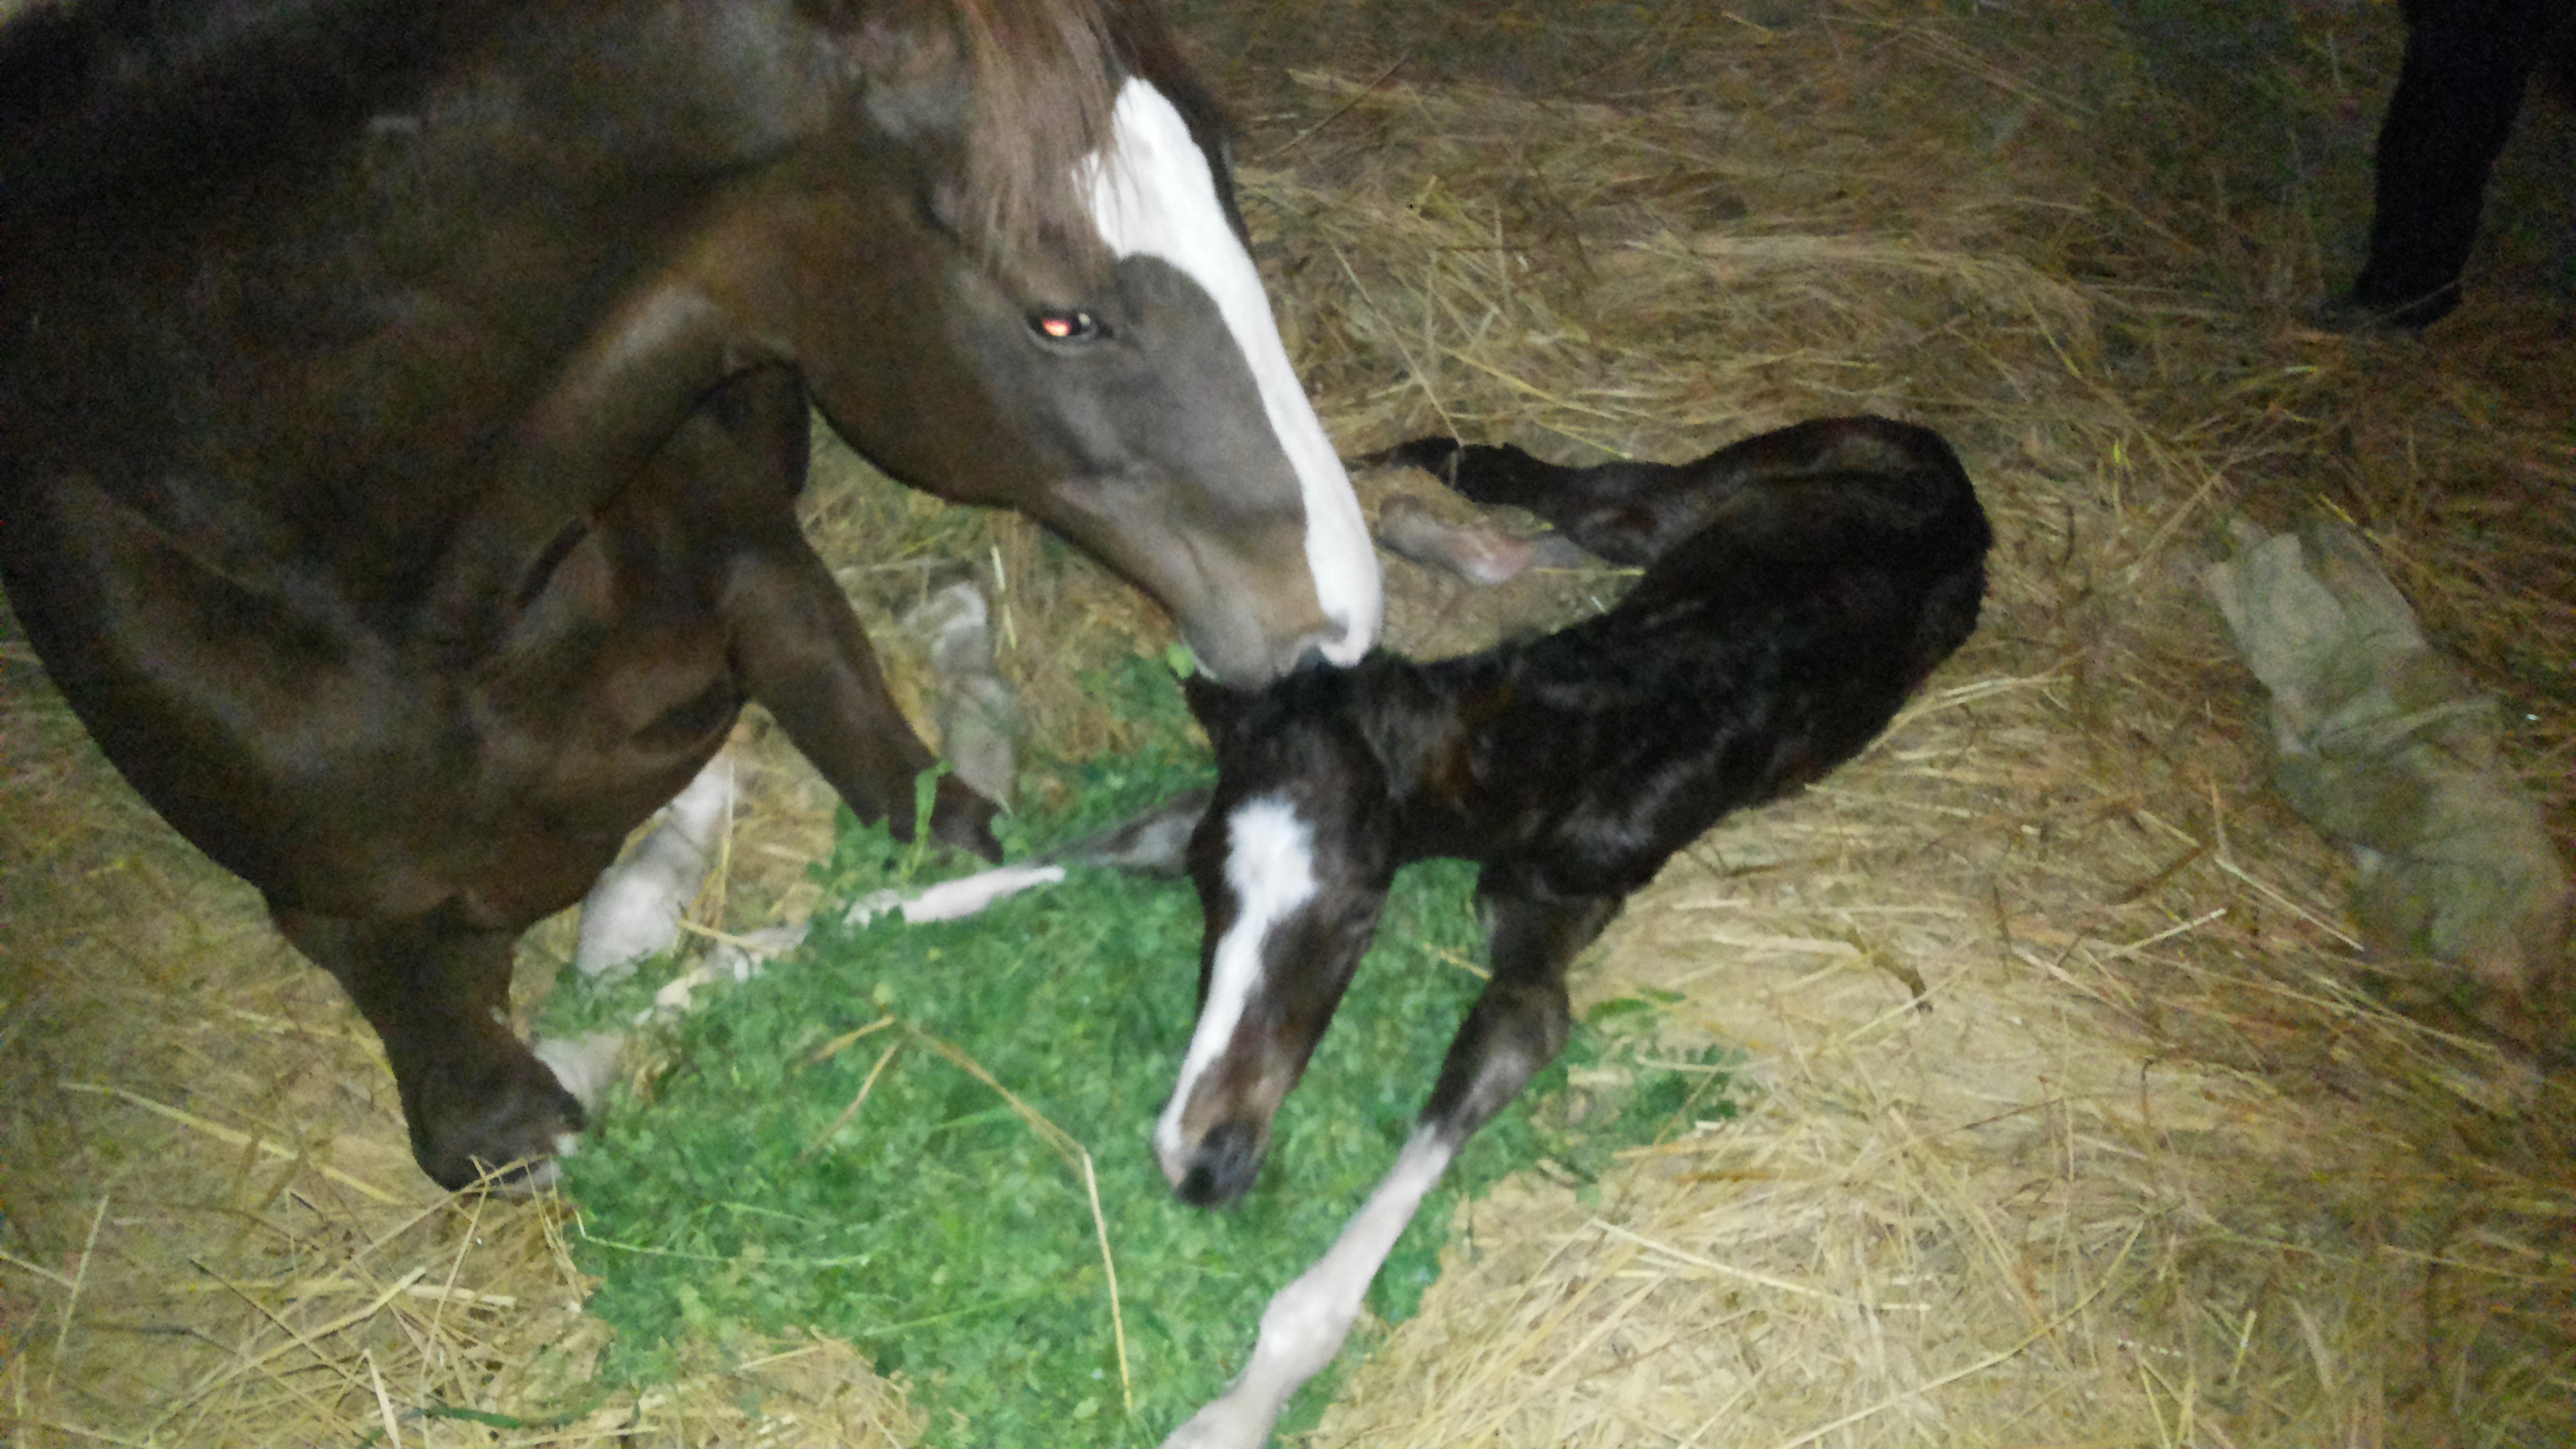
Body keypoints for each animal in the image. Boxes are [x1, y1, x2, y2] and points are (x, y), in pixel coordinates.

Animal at [0, 0, 1382, 1191]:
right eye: (1061, 321)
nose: (1339, 622)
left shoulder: (765, 574)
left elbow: (938, 825)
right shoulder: (335, 900)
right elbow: (494, 1113)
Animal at [1151, 415, 1992, 1447]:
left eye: (1357, 910)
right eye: (1204, 876)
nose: (1203, 1161)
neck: (1575, 734)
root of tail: (1948, 477)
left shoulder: (1539, 959)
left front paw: (1234, 1412)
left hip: (1684, 504)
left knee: (1549, 491)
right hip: (1677, 522)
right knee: (1556, 525)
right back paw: (1414, 521)